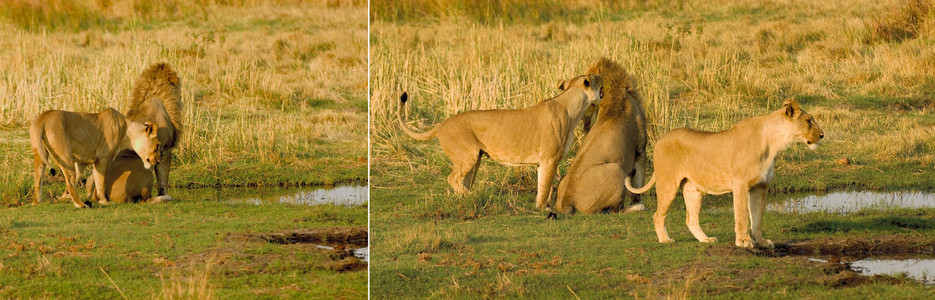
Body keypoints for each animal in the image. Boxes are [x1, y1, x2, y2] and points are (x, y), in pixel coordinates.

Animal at [31, 108, 161, 209]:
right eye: (158, 145)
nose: (158, 161)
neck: (127, 133)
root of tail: (43, 117)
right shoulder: (102, 159)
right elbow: (100, 182)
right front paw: (104, 201)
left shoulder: (82, 162)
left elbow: (81, 178)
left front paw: (63, 197)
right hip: (65, 156)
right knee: (69, 183)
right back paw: (81, 205)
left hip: (40, 154)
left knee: (38, 178)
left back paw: (36, 202)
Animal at [396, 74, 604, 209]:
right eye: (597, 80)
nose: (603, 81)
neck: (573, 106)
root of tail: (442, 123)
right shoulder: (550, 159)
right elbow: (546, 186)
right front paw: (543, 208)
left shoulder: (542, 162)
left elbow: (541, 185)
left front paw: (538, 206)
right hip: (467, 156)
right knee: (452, 179)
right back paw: (472, 196)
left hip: (475, 160)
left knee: (462, 181)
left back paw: (465, 199)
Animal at [556, 57, 652, 214]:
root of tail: (566, 200)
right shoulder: (640, 149)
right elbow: (638, 185)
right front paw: (638, 202)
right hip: (616, 169)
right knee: (616, 210)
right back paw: (638, 207)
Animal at [624, 99, 824, 247]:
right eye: (809, 121)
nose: (822, 135)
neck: (774, 143)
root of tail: (660, 139)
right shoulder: (741, 183)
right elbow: (742, 215)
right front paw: (744, 242)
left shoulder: (760, 186)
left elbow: (757, 218)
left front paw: (761, 242)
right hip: (668, 183)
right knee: (658, 215)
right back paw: (665, 240)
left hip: (693, 190)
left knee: (691, 219)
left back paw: (705, 239)